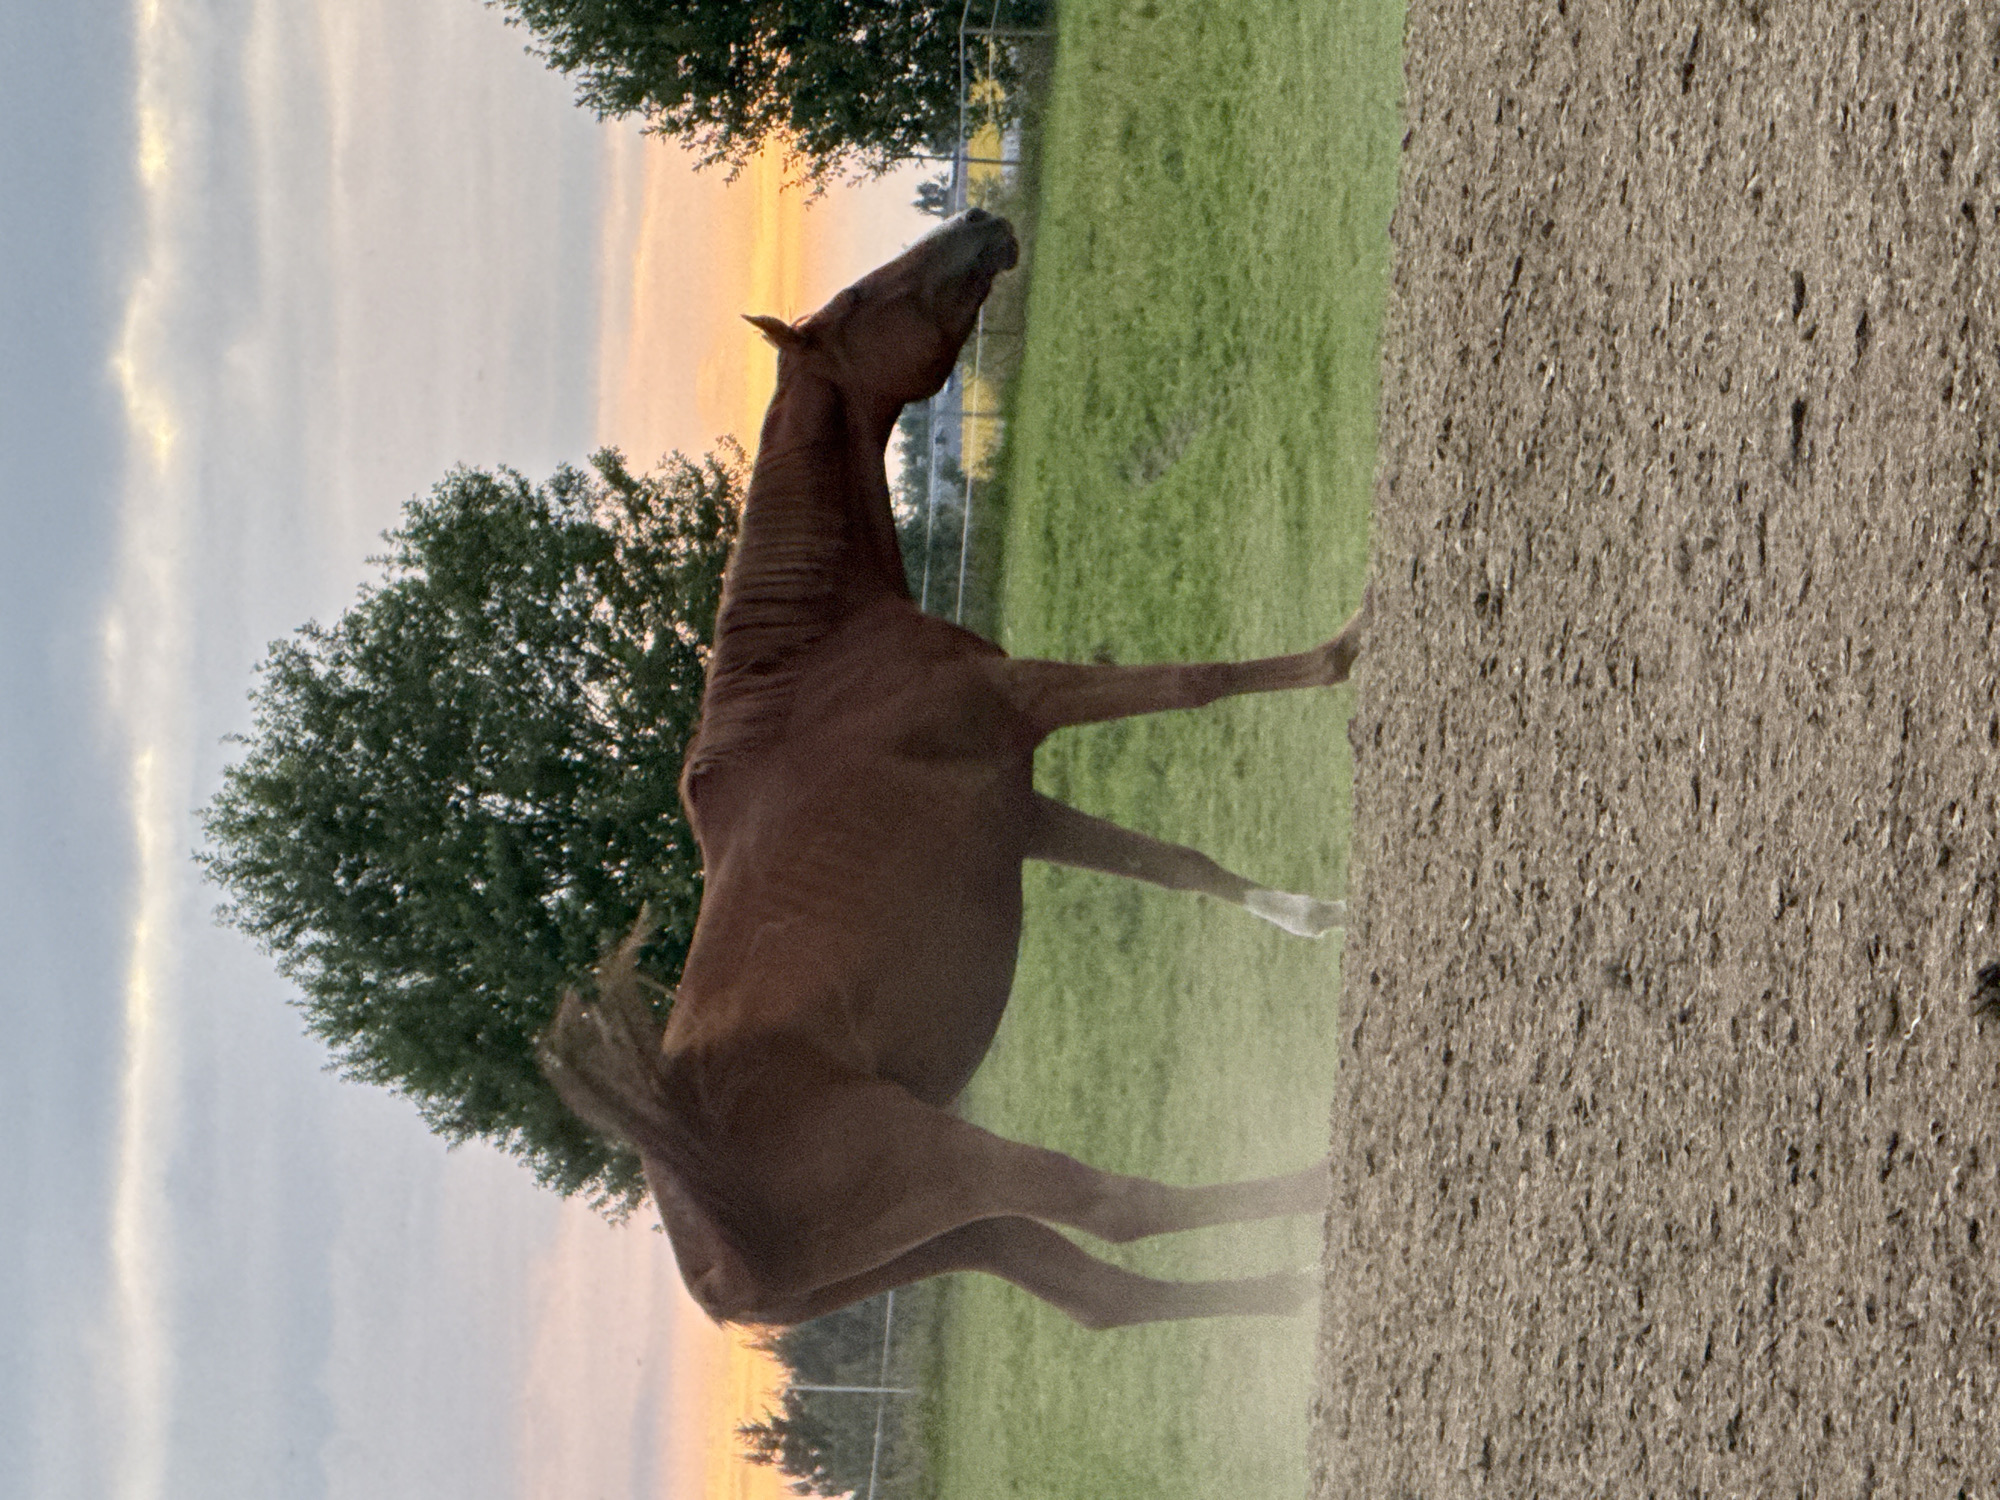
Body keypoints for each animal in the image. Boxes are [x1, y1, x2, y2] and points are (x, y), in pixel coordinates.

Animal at [540, 208, 1368, 1330]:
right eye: (862, 302)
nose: (980, 222)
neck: (817, 664)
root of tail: (712, 1259)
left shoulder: (1023, 812)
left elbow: (1184, 867)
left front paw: (1323, 916)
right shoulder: (1024, 704)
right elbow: (1194, 682)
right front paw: (1346, 646)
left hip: (952, 1237)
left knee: (1100, 1297)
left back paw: (1293, 1289)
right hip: (947, 1164)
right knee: (1116, 1207)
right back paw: (1317, 1200)